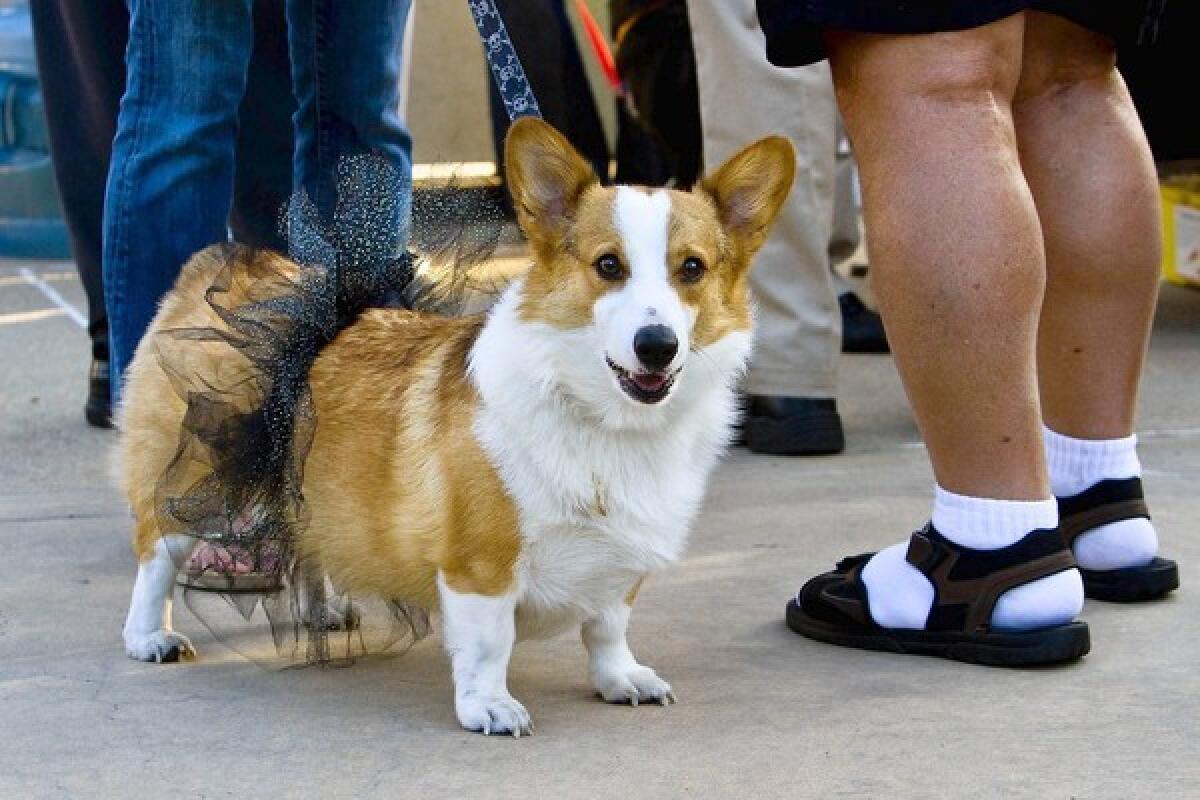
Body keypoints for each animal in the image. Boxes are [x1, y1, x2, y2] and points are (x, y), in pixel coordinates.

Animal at [119, 115, 796, 734]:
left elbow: (608, 626)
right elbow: (489, 645)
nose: (656, 346)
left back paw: (326, 610)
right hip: (195, 476)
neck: (603, 421)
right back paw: (149, 636)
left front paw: (621, 678)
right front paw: (488, 707)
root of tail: (215, 266)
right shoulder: (480, 565)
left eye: (692, 269)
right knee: (156, 554)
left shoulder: (619, 564)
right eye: (608, 265)